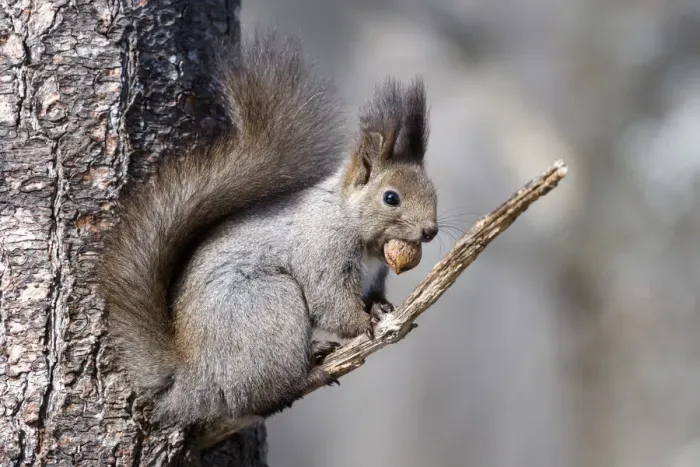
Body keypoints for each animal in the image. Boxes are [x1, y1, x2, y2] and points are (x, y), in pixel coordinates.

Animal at [98, 29, 438, 427]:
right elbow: (331, 304)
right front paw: (363, 323)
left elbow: (371, 295)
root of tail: (196, 380)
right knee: (265, 396)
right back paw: (310, 373)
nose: (430, 231)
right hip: (269, 306)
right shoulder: (322, 250)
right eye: (390, 198)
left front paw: (383, 308)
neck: (348, 220)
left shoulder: (372, 276)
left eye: (433, 191)